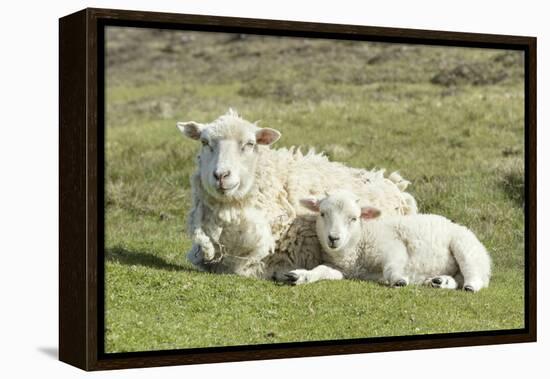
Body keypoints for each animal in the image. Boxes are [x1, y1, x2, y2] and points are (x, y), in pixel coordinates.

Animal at [292, 191, 494, 292]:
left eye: (354, 218)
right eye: (322, 214)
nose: (333, 238)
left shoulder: (392, 245)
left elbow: (391, 267)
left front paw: (398, 280)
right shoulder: (342, 270)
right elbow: (321, 270)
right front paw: (302, 275)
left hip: (465, 247)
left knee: (474, 274)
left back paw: (470, 286)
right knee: (458, 278)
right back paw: (440, 282)